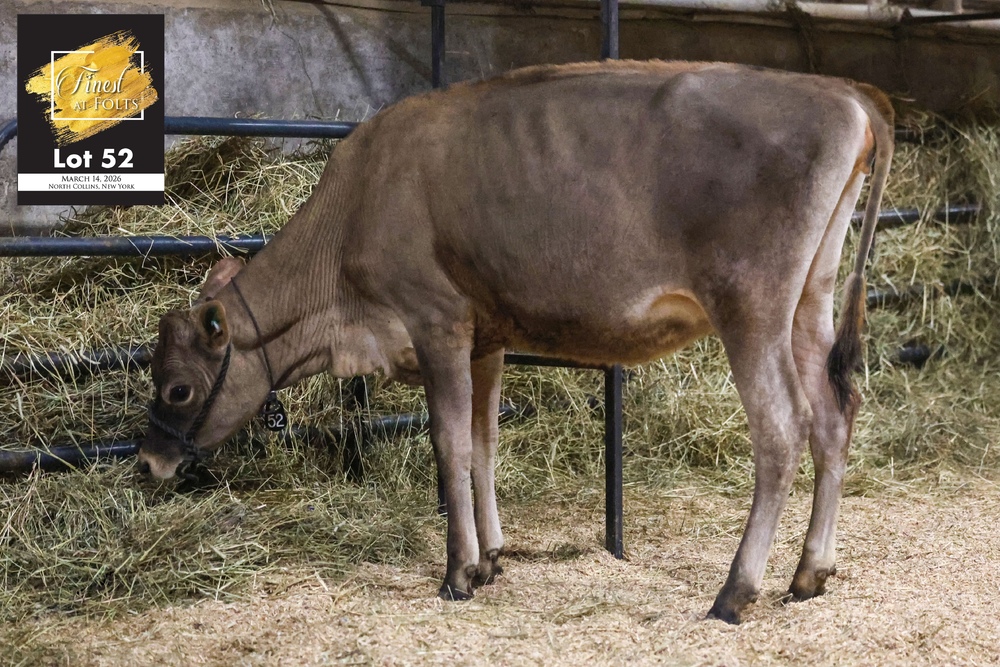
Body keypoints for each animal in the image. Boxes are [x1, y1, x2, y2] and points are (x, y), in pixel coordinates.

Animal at [138, 60, 893, 624]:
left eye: (177, 387)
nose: (147, 463)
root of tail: (845, 93)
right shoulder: (486, 337)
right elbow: (484, 445)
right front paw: (491, 557)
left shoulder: (438, 322)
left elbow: (449, 446)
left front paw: (456, 573)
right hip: (810, 300)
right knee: (834, 416)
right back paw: (809, 573)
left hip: (751, 306)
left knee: (783, 429)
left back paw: (735, 591)